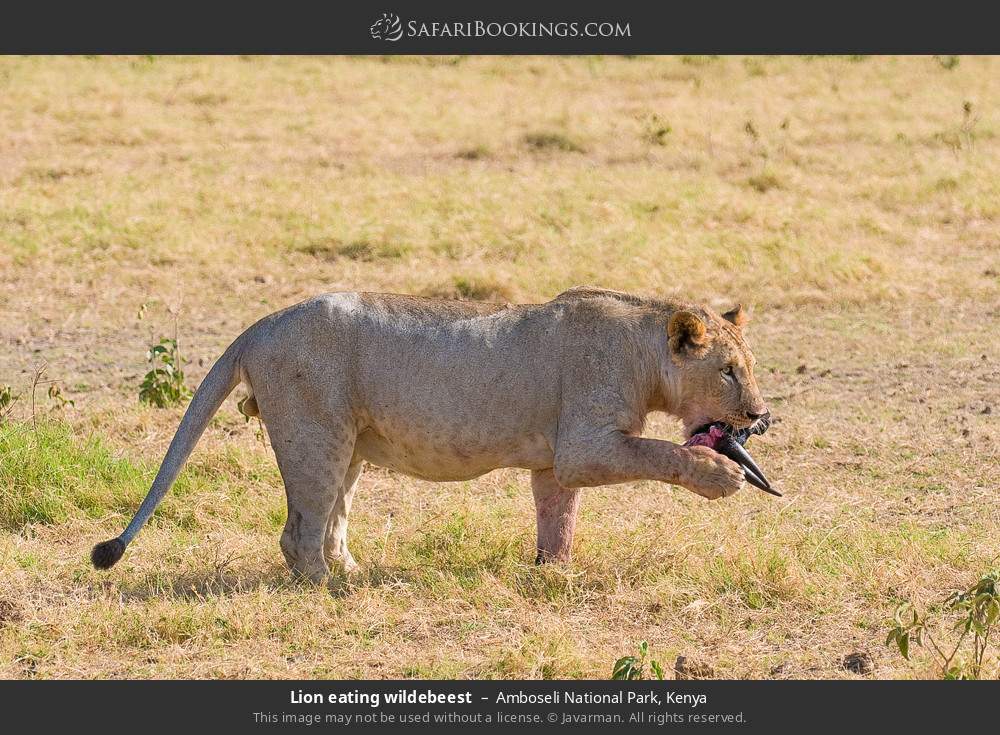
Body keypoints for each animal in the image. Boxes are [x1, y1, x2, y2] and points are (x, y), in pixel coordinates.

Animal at [92, 287, 769, 581]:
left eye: (750, 366)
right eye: (728, 372)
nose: (760, 415)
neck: (644, 351)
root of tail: (258, 326)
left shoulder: (554, 461)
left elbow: (558, 516)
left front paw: (554, 574)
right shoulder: (586, 444)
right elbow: (659, 452)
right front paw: (723, 475)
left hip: (349, 447)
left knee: (330, 521)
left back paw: (353, 572)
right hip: (316, 435)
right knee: (298, 533)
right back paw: (332, 592)